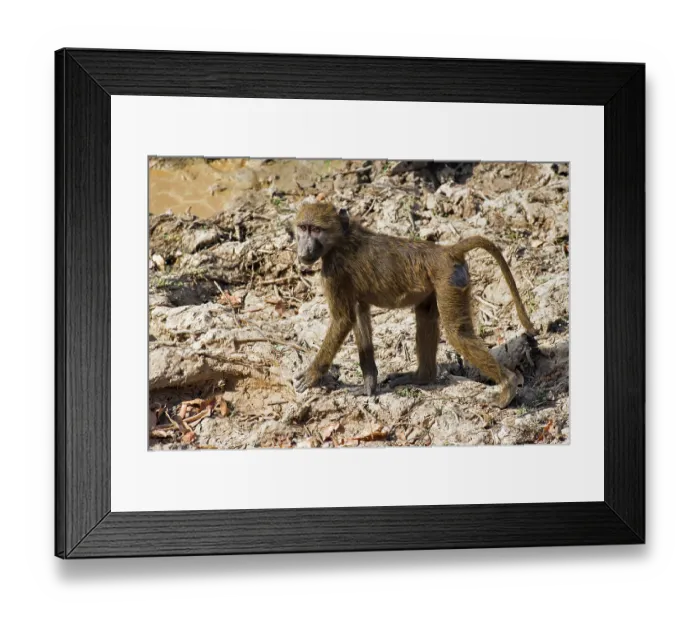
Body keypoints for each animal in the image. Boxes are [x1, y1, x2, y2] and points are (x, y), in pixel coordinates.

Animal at [293, 202, 536, 408]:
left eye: (316, 230)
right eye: (303, 228)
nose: (303, 250)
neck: (341, 238)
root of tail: (447, 251)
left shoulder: (333, 271)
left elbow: (342, 320)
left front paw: (311, 376)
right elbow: (359, 317)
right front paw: (369, 385)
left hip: (449, 280)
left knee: (457, 333)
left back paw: (508, 386)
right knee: (425, 315)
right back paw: (422, 377)